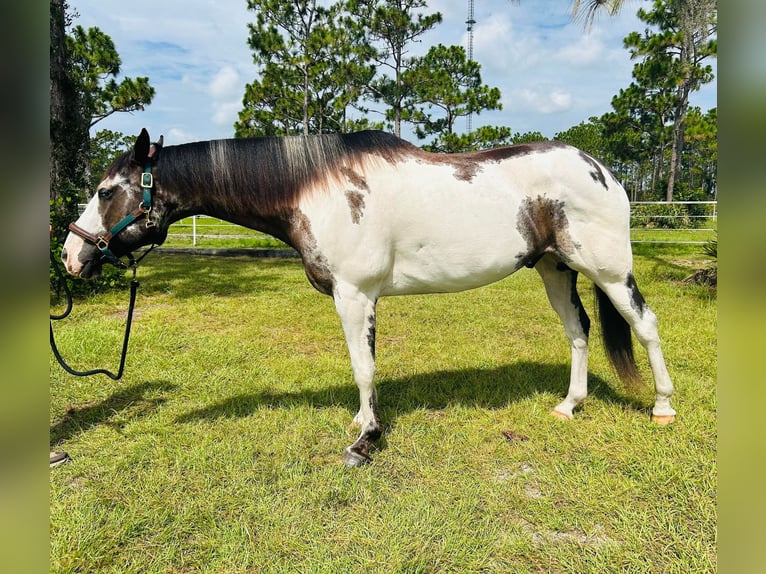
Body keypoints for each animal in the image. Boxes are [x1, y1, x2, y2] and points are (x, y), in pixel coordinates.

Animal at [62, 128, 676, 466]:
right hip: (554, 269)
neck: (318, 188)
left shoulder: (355, 296)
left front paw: (365, 440)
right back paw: (570, 405)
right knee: (578, 332)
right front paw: (364, 423)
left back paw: (663, 407)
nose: (71, 255)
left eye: (106, 191)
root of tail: (602, 170)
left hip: (609, 270)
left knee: (645, 325)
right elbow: (365, 368)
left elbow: (363, 366)